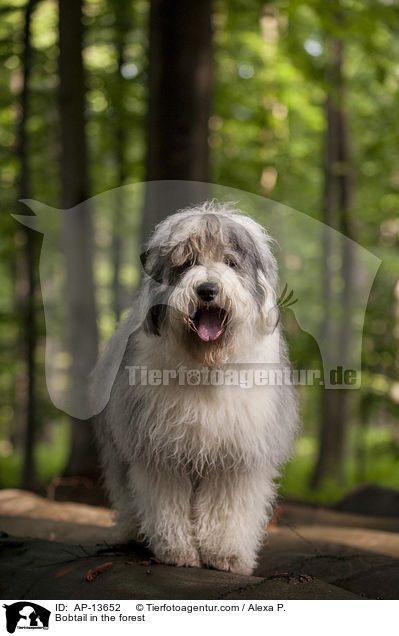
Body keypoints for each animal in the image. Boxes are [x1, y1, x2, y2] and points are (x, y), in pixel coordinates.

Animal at [94, 201, 298, 572]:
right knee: (126, 494)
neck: (206, 366)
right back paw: (129, 533)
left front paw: (225, 555)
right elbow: (166, 503)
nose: (207, 290)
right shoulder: (160, 448)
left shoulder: (237, 454)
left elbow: (228, 509)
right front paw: (178, 552)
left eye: (230, 262)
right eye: (187, 263)